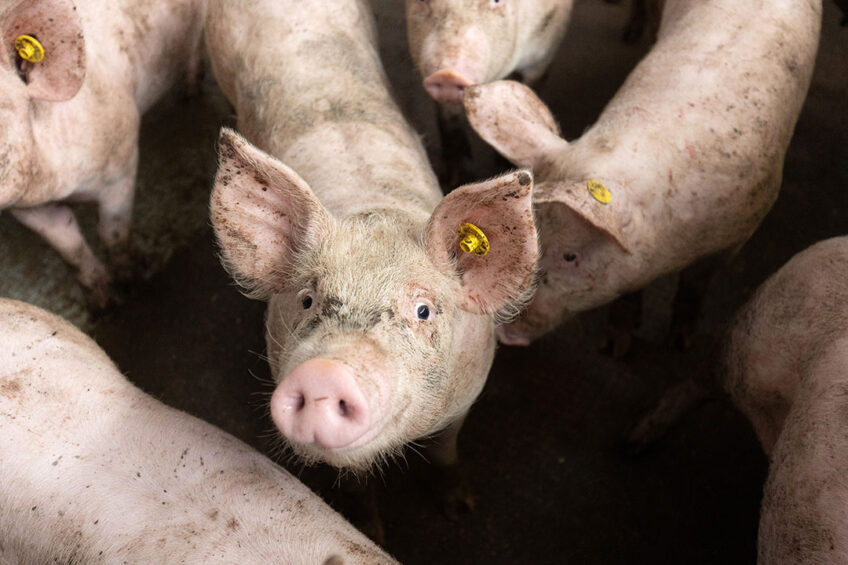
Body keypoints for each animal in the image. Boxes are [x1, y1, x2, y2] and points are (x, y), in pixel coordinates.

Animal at [0, 1, 204, 308]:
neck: (58, 184)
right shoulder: (28, 208)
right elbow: (70, 249)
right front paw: (102, 304)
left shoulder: (122, 160)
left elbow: (113, 232)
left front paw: (132, 285)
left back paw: (191, 96)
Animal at [205, 0, 536, 470]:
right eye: (307, 299)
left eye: (423, 311)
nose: (325, 373)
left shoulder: (466, 399)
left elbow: (445, 448)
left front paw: (453, 487)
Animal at [464, 0, 820, 344]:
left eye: (570, 255)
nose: (504, 334)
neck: (675, 238)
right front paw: (617, 345)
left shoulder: (741, 229)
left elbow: (695, 286)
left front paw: (680, 342)